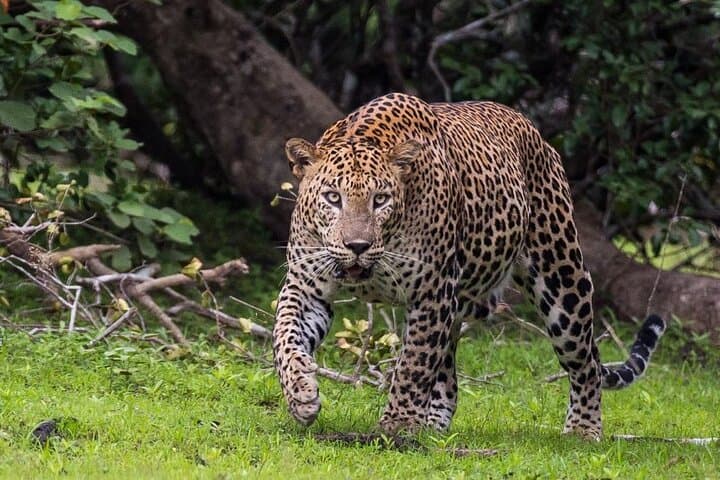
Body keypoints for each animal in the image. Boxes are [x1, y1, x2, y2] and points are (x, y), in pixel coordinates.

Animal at [271, 92, 666, 440]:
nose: (357, 246)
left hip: (562, 279)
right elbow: (284, 337)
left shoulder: (432, 291)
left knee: (586, 361)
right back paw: (433, 426)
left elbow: (413, 366)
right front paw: (301, 393)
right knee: (447, 374)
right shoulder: (305, 286)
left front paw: (397, 424)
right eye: (332, 198)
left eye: (380, 200)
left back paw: (584, 429)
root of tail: (534, 131)